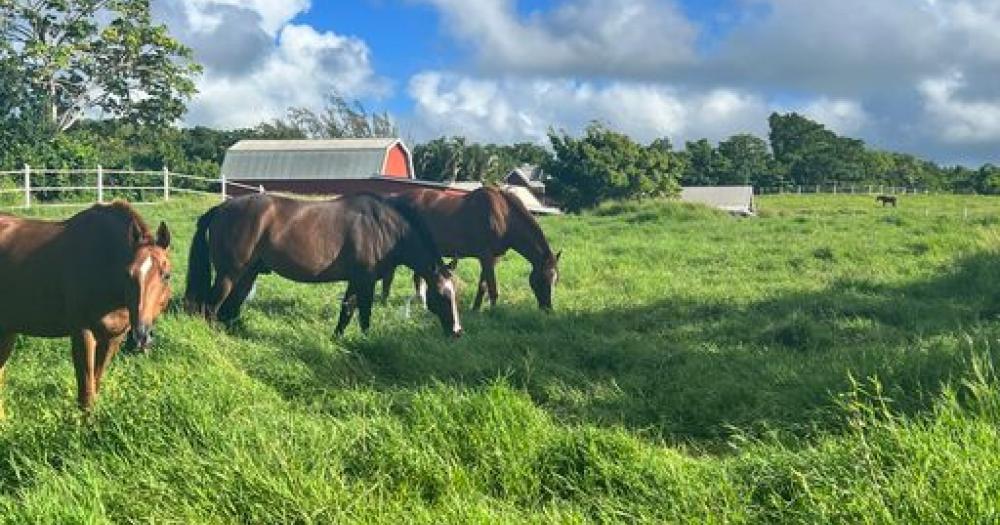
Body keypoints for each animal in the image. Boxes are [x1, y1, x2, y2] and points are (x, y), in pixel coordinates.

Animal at [0, 202, 173, 411]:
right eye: (127, 274)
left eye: (166, 275)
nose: (141, 337)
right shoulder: (82, 333)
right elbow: (86, 395)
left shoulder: (113, 337)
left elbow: (95, 386)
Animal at [183, 193, 462, 337]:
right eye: (442, 295)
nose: (457, 331)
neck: (382, 227)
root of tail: (221, 207)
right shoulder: (366, 282)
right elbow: (364, 315)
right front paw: (367, 342)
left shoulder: (355, 281)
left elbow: (346, 312)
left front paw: (338, 340)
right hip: (229, 274)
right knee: (210, 308)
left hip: (247, 275)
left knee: (228, 309)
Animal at [381, 187, 561, 311]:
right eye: (543, 279)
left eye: (555, 280)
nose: (548, 309)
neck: (504, 215)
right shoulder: (486, 256)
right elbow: (492, 287)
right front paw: (494, 311)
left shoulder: (492, 258)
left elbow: (483, 285)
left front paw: (476, 309)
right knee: (390, 276)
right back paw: (384, 302)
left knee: (417, 277)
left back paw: (421, 304)